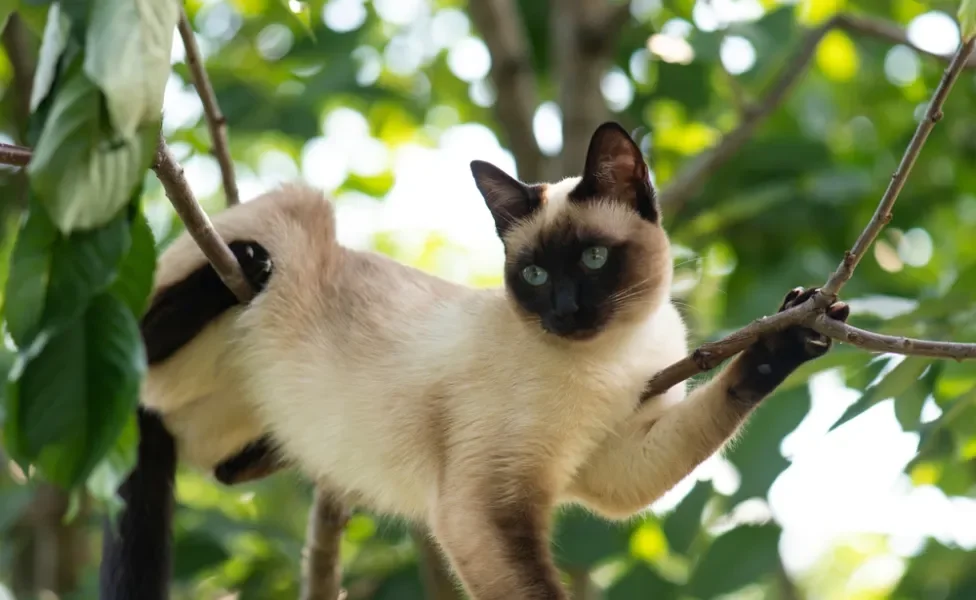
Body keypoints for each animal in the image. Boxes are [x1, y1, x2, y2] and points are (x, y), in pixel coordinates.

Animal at [97, 123, 848, 600]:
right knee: (133, 351)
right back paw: (247, 269)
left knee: (221, 466)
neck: (610, 361)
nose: (565, 312)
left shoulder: (617, 459)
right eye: (536, 275)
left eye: (593, 260)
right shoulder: (485, 505)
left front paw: (796, 331)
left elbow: (714, 406)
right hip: (293, 213)